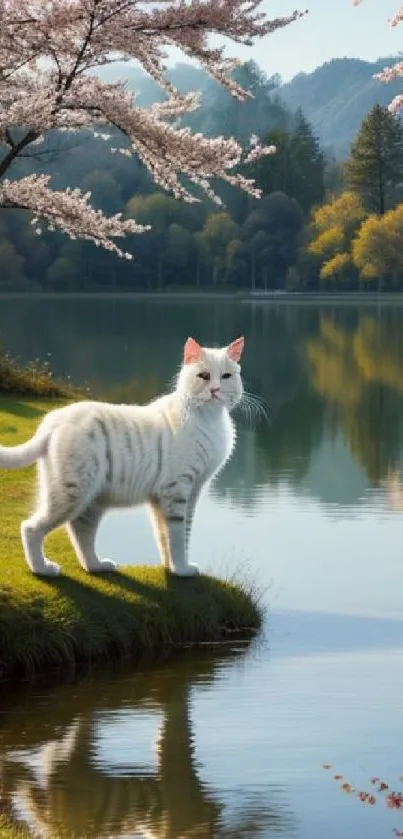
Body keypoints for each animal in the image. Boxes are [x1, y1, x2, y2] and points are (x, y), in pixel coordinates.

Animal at [0, 334, 246, 576]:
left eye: (226, 376)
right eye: (204, 376)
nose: (215, 389)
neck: (209, 417)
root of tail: (51, 421)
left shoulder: (186, 492)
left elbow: (169, 535)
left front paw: (171, 568)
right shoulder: (178, 489)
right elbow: (176, 535)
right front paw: (182, 569)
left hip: (91, 501)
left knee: (80, 533)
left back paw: (98, 565)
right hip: (71, 493)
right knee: (31, 528)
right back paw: (42, 569)